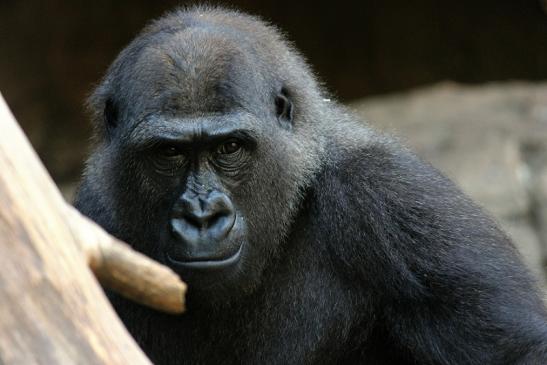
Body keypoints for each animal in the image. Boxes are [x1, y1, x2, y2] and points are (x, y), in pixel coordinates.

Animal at [75, 5, 547, 364]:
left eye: (230, 147)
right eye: (169, 153)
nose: (202, 215)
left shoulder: (392, 198)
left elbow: (518, 351)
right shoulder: (97, 214)